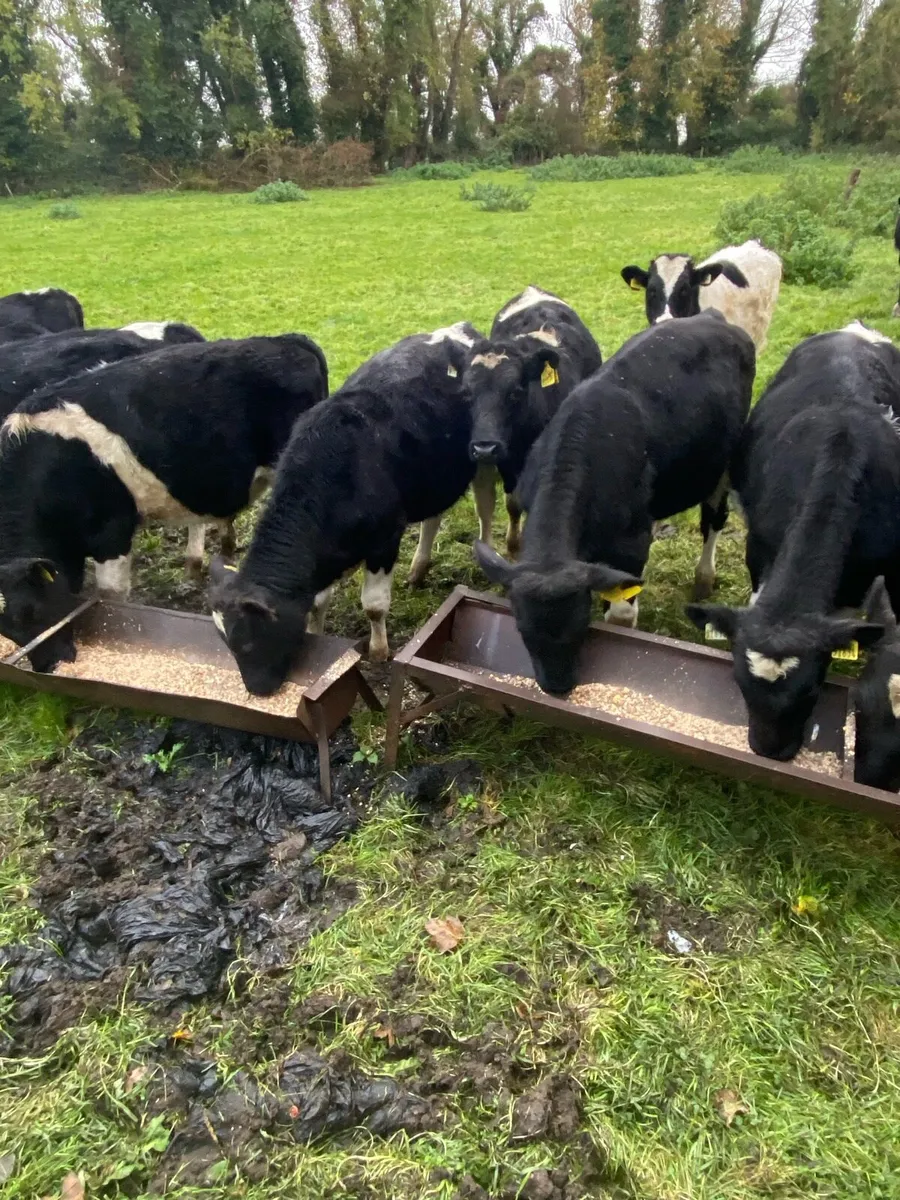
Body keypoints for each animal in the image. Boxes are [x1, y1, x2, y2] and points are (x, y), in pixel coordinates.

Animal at [0, 334, 328, 670]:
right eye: (10, 631)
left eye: (34, 611)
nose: (48, 666)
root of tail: (288, 340)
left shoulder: (111, 532)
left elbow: (110, 596)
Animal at [209, 324, 480, 695]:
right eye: (227, 645)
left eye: (248, 642)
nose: (257, 690)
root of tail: (455, 328)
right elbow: (317, 603)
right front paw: (318, 635)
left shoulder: (385, 540)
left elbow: (374, 606)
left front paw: (379, 651)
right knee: (433, 518)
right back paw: (418, 568)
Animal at [472, 310, 755, 696]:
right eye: (521, 629)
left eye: (580, 627)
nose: (556, 686)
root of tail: (711, 316)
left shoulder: (631, 544)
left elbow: (620, 616)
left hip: (724, 460)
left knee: (714, 516)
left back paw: (704, 577)